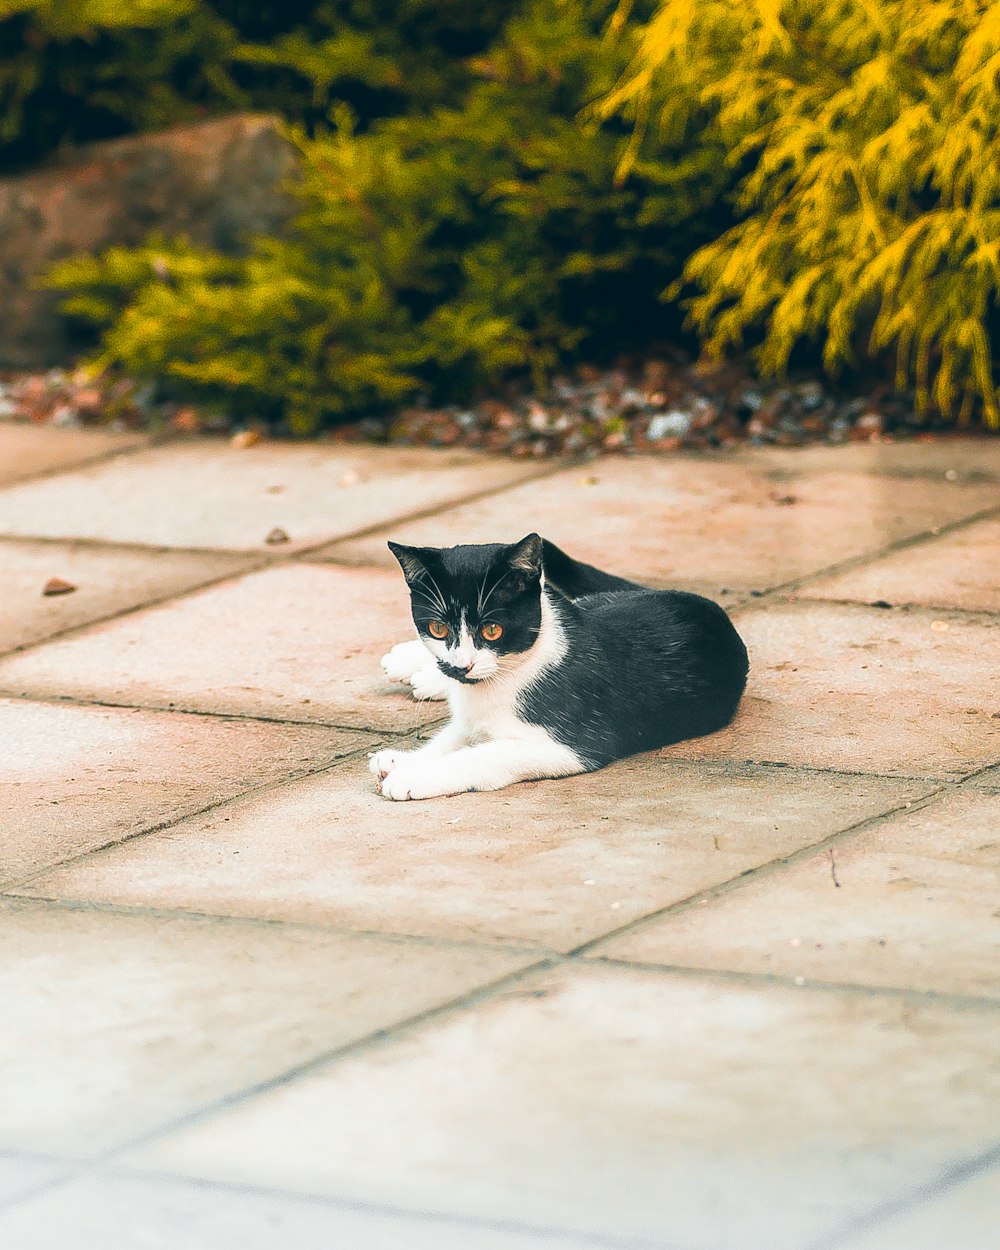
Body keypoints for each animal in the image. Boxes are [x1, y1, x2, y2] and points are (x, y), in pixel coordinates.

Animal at [370, 532, 745, 795]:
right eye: (438, 628)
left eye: (493, 630)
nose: (463, 667)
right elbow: (452, 737)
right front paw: (404, 759)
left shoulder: (571, 745)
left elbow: (480, 754)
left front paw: (414, 774)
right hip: (596, 602)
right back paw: (411, 665)